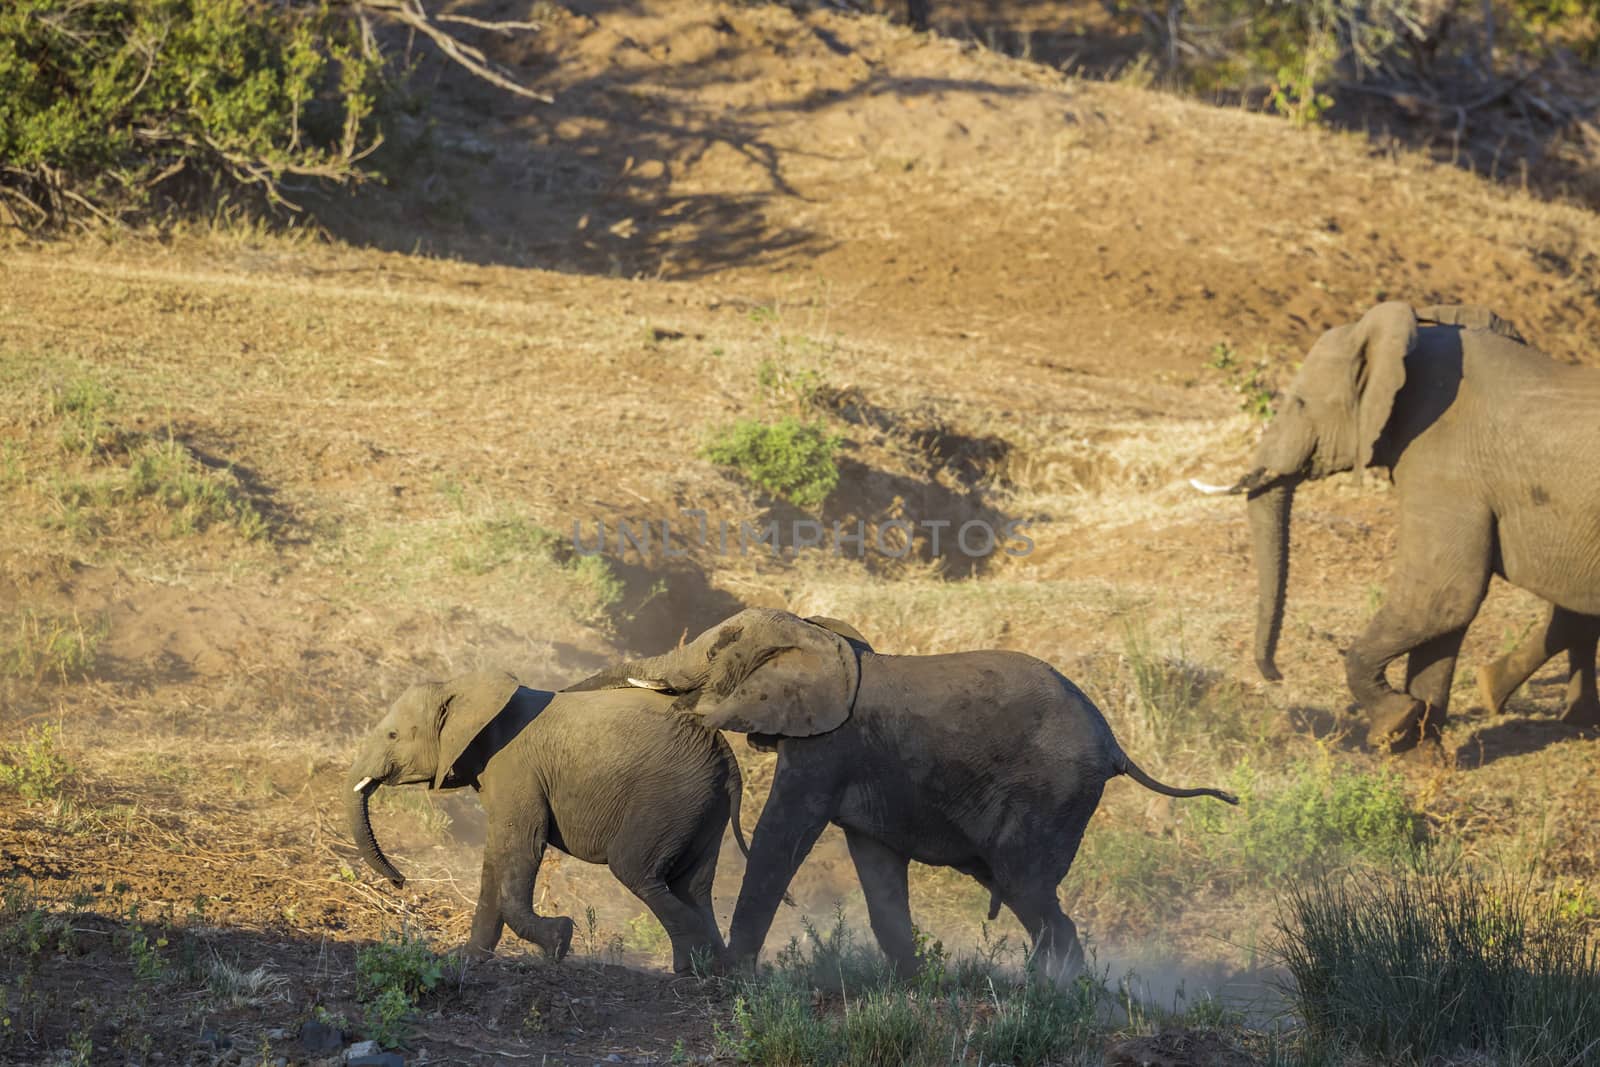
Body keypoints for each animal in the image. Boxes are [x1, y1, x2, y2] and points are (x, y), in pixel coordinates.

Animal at [350, 671, 748, 972]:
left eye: (393, 735)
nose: (401, 882)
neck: (466, 688)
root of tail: (727, 757)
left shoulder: (515, 767)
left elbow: (521, 844)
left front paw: (559, 941)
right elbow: (496, 853)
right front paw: (466, 959)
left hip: (671, 796)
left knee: (635, 869)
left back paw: (700, 969)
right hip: (702, 804)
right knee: (693, 885)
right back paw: (718, 969)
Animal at [563, 614, 1235, 979]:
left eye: (713, 650)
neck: (820, 638)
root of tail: (1115, 744)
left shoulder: (828, 747)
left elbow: (783, 833)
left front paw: (735, 975)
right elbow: (876, 866)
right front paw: (911, 983)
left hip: (1055, 790)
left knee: (1026, 888)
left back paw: (1057, 992)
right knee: (1029, 894)